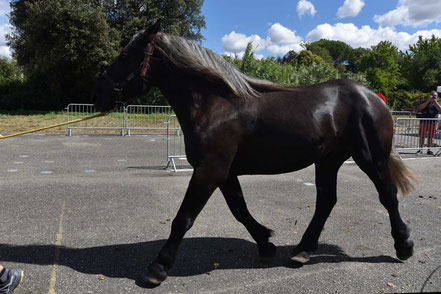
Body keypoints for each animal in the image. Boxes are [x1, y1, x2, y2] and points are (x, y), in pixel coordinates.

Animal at [92, 20, 416, 284]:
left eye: (125, 55)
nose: (97, 95)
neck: (214, 104)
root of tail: (374, 97)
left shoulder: (210, 170)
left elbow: (184, 218)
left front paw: (157, 268)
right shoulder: (223, 172)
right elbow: (240, 210)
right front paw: (266, 243)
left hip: (370, 158)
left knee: (387, 196)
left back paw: (404, 246)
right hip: (328, 160)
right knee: (326, 201)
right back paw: (301, 251)